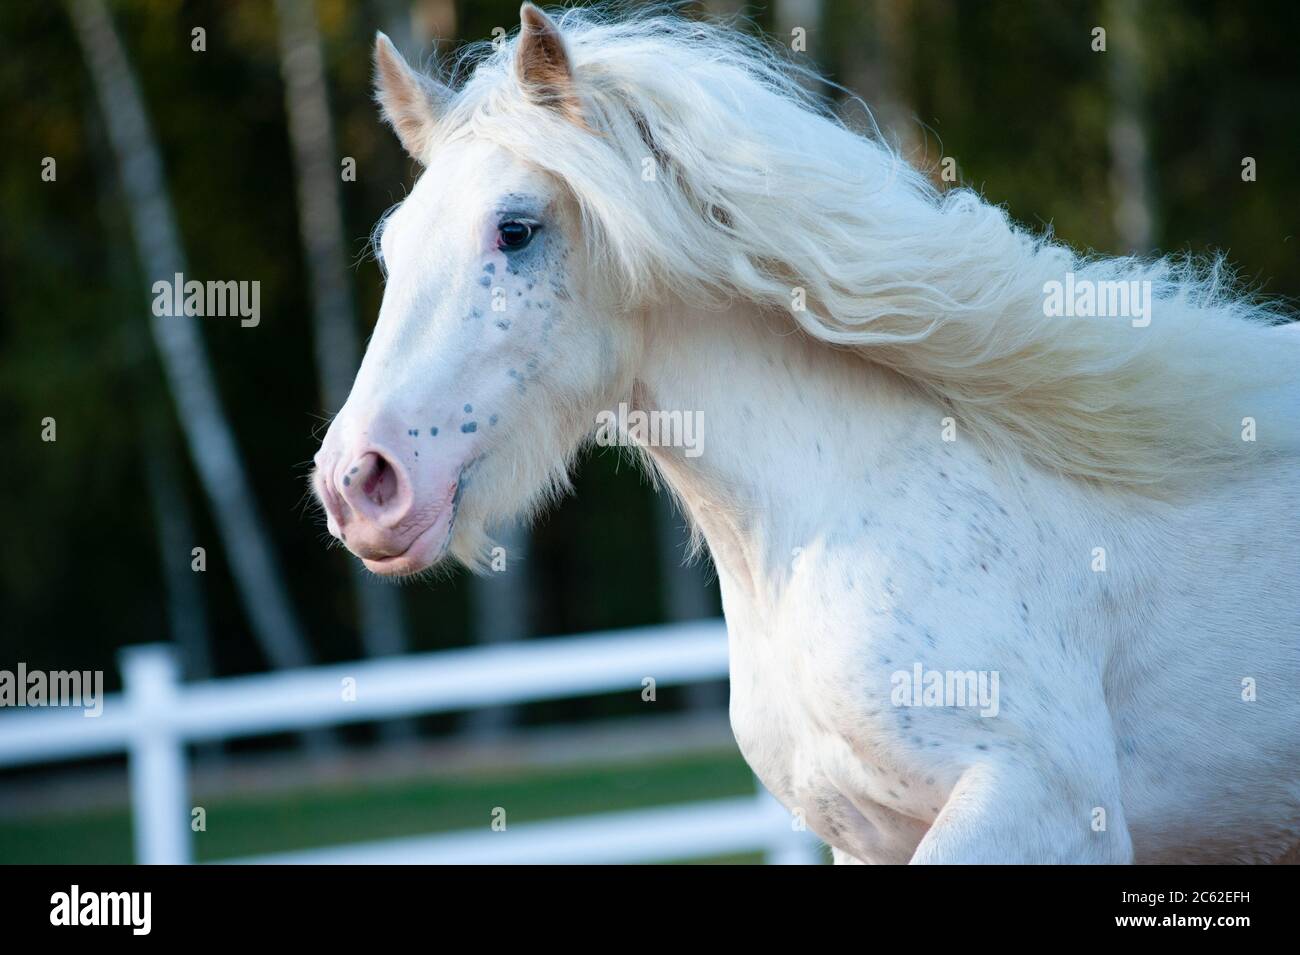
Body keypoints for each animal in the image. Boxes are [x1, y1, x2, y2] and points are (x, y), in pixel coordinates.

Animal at [314, 1, 1300, 867]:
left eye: (514, 230)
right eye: (394, 249)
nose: (359, 483)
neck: (837, 517)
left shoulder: (1041, 807)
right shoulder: (866, 837)